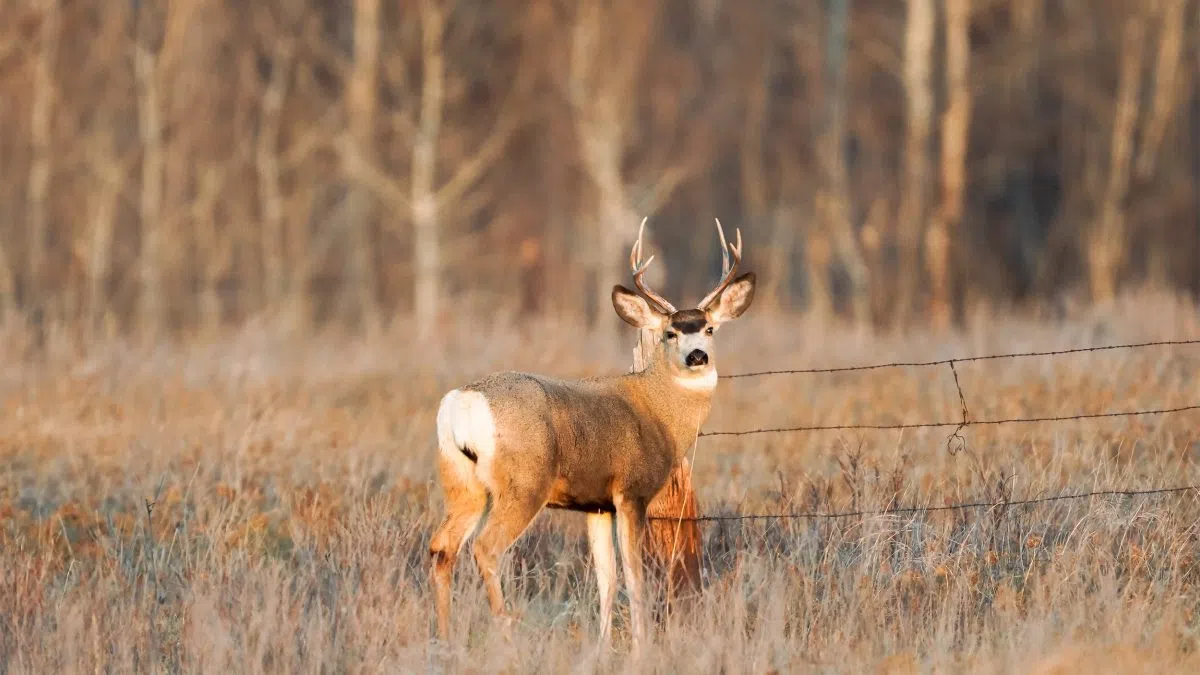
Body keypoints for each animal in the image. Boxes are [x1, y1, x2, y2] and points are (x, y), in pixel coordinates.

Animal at [427, 218, 753, 648]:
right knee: (486, 548)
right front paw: (641, 648)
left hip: (462, 484)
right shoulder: (631, 492)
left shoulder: (596, 505)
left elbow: (606, 580)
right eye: (670, 333)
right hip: (524, 483)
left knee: (441, 548)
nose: (696, 356)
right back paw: (506, 632)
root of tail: (462, 402)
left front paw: (601, 647)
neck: (659, 412)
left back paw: (445, 641)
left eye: (710, 329)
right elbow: (634, 577)